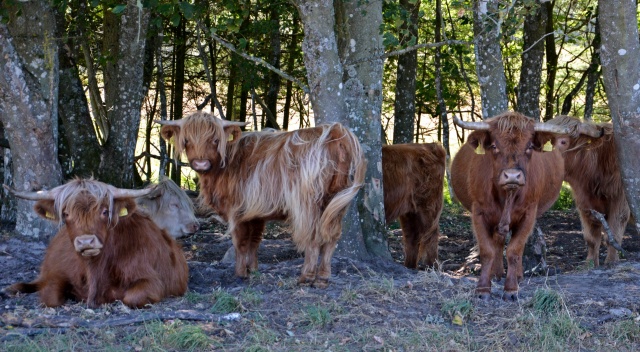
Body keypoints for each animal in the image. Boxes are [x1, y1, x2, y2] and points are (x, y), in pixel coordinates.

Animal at [2, 179, 188, 308]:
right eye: (66, 213)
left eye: (105, 211)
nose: (86, 241)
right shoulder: (57, 274)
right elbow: (50, 296)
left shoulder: (153, 281)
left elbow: (132, 297)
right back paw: (10, 288)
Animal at [157, 111, 362, 288]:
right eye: (186, 140)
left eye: (215, 140)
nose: (201, 163)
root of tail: (335, 130)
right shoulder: (255, 213)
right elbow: (254, 241)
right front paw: (253, 270)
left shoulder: (237, 210)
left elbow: (240, 242)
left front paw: (240, 274)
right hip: (336, 200)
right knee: (332, 236)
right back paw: (323, 278)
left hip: (308, 202)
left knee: (313, 236)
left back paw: (306, 277)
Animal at [448, 112, 568, 300]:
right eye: (494, 146)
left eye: (529, 146)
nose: (512, 176)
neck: (507, 196)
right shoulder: (478, 213)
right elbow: (487, 251)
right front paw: (483, 288)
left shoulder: (529, 214)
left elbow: (514, 250)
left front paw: (511, 288)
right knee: (498, 241)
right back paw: (496, 273)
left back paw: (517, 275)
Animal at [548, 115, 628, 266]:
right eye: (551, 141)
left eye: (563, 141)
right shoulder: (585, 204)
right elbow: (591, 239)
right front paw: (590, 265)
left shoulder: (620, 200)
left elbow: (613, 236)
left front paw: (611, 262)